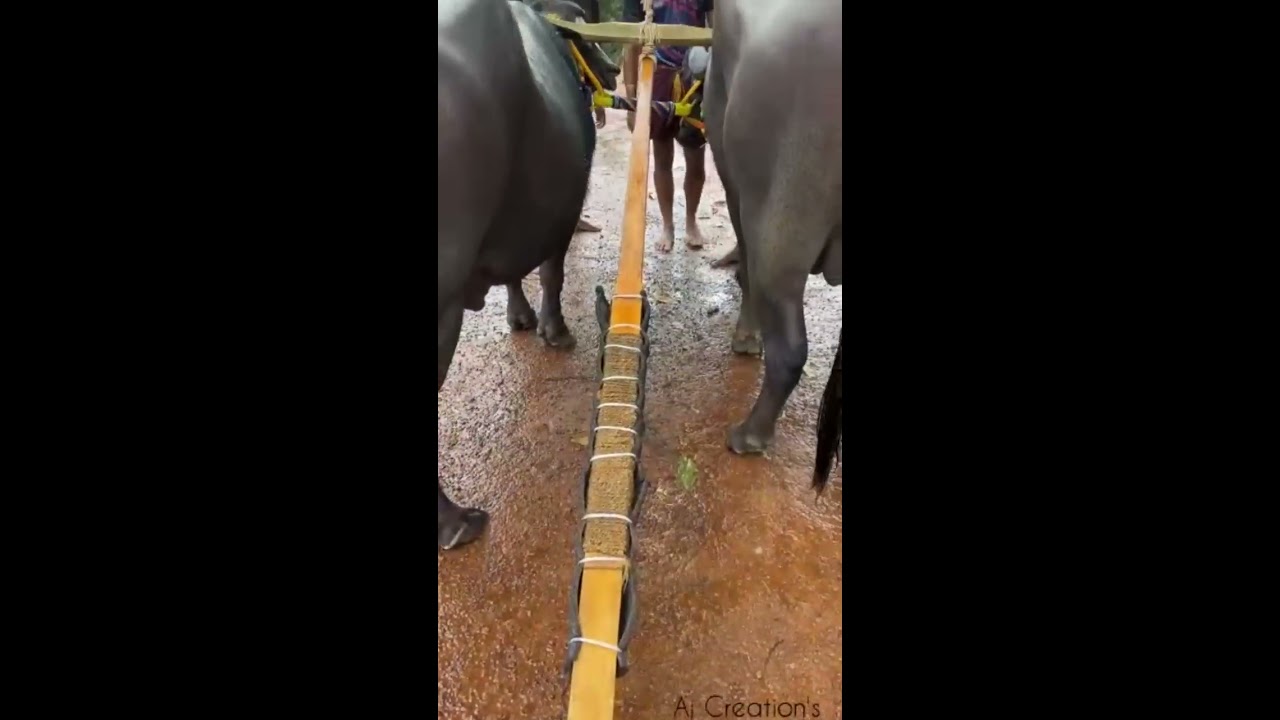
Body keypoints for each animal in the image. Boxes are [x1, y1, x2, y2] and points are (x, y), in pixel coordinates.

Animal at [440, 0, 619, 545]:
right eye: (590, 38)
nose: (614, 67)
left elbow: (515, 275)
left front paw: (519, 318)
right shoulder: (562, 215)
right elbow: (551, 274)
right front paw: (555, 331)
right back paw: (456, 523)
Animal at [701, 0, 839, 456]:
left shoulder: (737, 182)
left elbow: (745, 257)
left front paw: (746, 339)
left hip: (785, 218)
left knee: (790, 347)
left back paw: (749, 436)